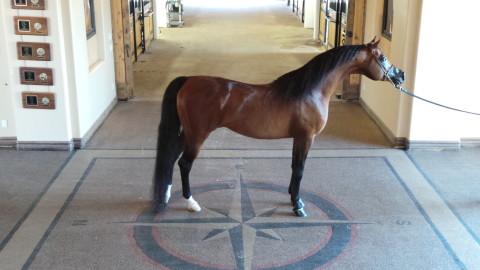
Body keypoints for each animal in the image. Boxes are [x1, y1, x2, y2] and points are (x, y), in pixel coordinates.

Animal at [152, 38, 404, 216]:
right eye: (382, 57)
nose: (400, 75)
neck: (310, 90)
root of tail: (188, 80)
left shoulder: (298, 139)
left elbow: (294, 167)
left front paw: (293, 196)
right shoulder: (306, 138)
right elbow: (300, 169)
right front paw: (297, 206)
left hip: (185, 134)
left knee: (171, 159)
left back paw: (165, 195)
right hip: (197, 135)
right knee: (184, 164)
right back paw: (191, 203)